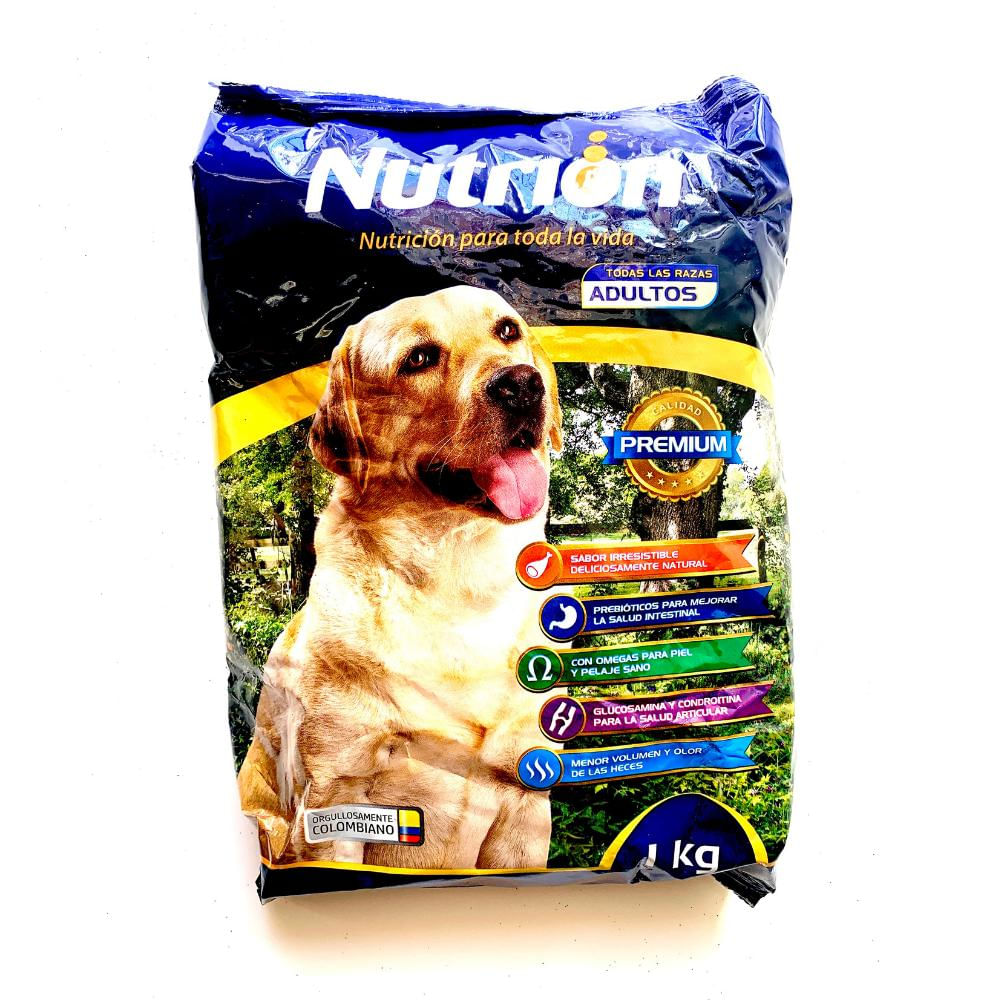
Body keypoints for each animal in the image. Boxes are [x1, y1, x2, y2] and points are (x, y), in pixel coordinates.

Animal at [238, 286, 563, 870]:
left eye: (507, 330)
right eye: (419, 358)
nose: (523, 383)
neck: (458, 583)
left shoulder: (526, 803)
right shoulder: (336, 797)